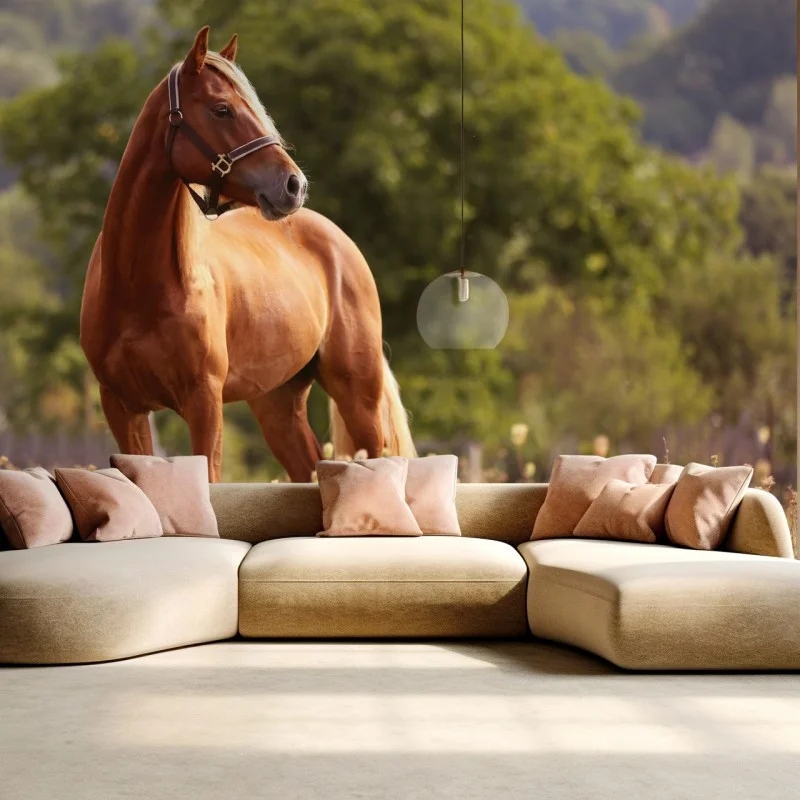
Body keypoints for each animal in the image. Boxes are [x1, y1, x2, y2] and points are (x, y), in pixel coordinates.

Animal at [80, 26, 416, 482]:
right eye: (222, 109)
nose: (293, 185)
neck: (139, 287)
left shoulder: (204, 402)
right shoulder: (121, 407)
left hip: (357, 394)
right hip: (276, 401)